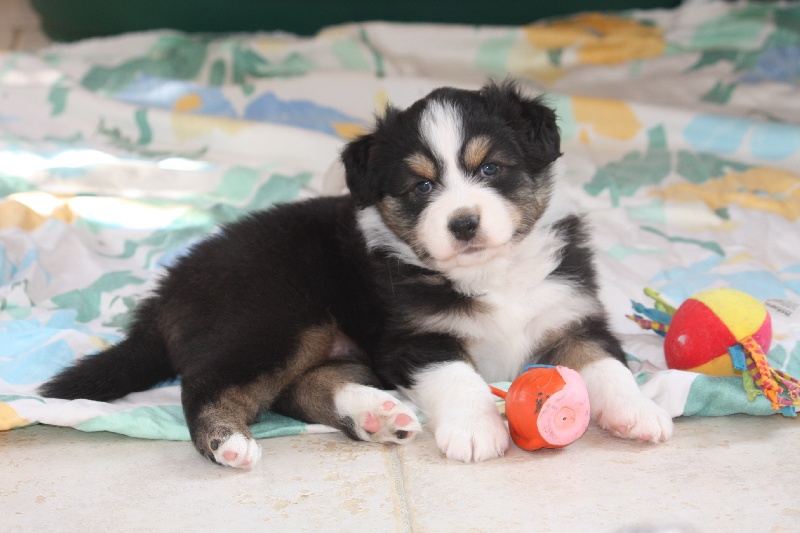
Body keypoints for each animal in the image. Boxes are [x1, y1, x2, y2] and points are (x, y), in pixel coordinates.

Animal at [40, 81, 673, 468]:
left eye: (492, 169)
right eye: (421, 186)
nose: (464, 223)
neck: (492, 273)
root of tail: (172, 282)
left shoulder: (573, 316)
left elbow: (606, 367)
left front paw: (640, 413)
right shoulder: (415, 337)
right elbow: (459, 377)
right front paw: (476, 430)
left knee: (299, 388)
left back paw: (374, 415)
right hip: (275, 318)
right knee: (207, 387)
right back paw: (230, 444)